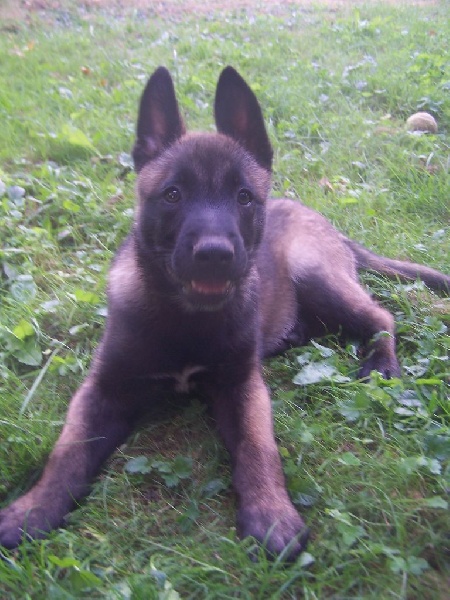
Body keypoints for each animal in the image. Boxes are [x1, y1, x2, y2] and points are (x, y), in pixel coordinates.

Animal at [0, 66, 448, 560]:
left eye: (244, 196)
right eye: (172, 194)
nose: (214, 255)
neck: (186, 317)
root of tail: (329, 225)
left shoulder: (242, 385)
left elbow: (257, 446)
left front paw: (271, 514)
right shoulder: (104, 388)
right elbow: (69, 449)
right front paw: (32, 510)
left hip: (315, 274)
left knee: (381, 317)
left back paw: (381, 365)